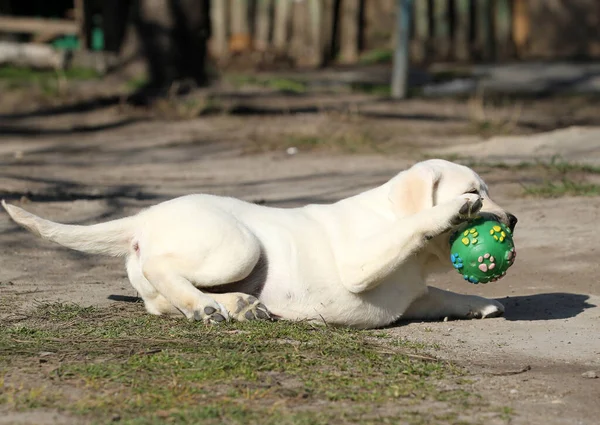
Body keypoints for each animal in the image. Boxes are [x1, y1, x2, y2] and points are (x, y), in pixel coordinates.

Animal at [2, 159, 516, 328]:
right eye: (476, 189)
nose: (512, 218)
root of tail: (144, 218)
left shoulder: (416, 296)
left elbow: (441, 293)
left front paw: (483, 304)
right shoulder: (358, 263)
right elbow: (409, 230)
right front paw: (452, 211)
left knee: (159, 300)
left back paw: (237, 306)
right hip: (240, 247)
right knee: (162, 271)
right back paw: (208, 307)